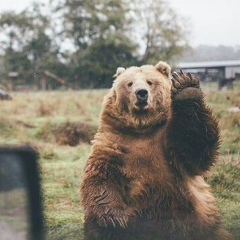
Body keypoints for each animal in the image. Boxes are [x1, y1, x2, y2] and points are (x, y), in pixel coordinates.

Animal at [80, 62, 232, 240]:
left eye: (150, 82)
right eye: (130, 83)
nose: (141, 93)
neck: (142, 128)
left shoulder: (169, 144)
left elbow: (195, 149)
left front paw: (187, 88)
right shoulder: (115, 143)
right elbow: (102, 175)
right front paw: (112, 218)